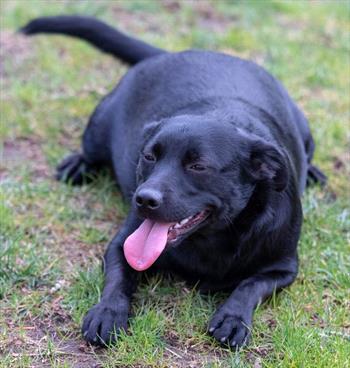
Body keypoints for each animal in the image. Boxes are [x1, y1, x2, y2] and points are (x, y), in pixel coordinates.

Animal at [21, 15, 326, 348]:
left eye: (198, 166)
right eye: (149, 156)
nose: (144, 199)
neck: (213, 239)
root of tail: (169, 53)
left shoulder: (283, 267)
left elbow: (250, 285)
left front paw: (233, 317)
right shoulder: (122, 243)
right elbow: (118, 279)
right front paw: (108, 311)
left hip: (305, 128)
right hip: (99, 125)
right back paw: (78, 164)